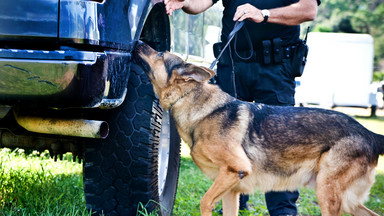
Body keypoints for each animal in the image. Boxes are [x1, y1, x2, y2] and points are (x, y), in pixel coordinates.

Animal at [134, 42, 382, 216]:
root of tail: (369, 133)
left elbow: (204, 202)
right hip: (345, 200)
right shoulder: (231, 191)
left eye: (160, 54)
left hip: (327, 194)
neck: (193, 102)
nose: (137, 41)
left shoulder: (236, 169)